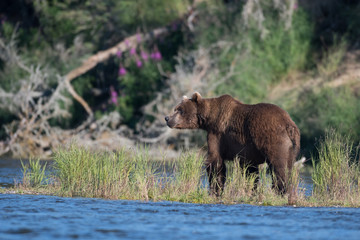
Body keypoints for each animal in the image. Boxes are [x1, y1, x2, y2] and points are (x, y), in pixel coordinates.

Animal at [165, 92, 300, 195]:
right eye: (176, 108)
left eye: (180, 110)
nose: (167, 118)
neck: (210, 118)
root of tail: (289, 124)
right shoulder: (247, 149)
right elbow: (250, 169)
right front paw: (251, 190)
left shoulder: (218, 133)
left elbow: (215, 161)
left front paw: (215, 190)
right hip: (292, 146)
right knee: (288, 166)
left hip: (274, 140)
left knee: (279, 167)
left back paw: (280, 190)